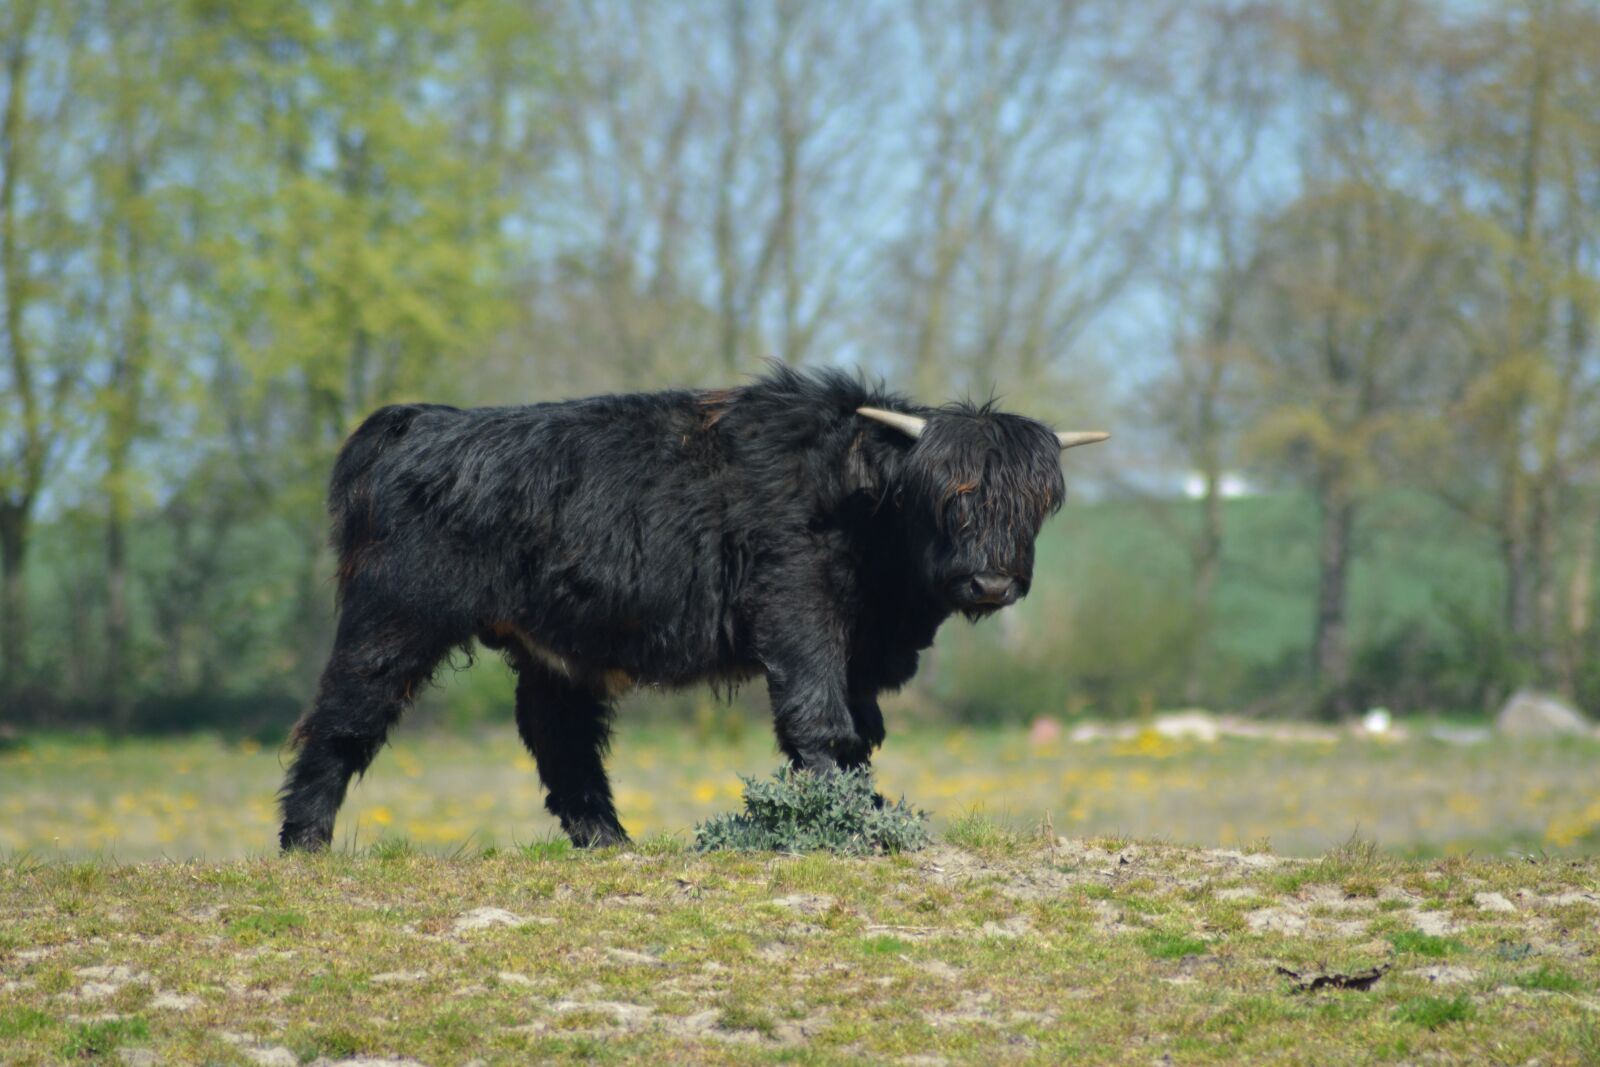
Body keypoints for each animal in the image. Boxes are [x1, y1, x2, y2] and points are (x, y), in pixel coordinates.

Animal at [277, 366, 1107, 851]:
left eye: (1033, 503)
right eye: (946, 498)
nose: (990, 583)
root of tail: (424, 421)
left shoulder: (862, 649)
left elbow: (861, 733)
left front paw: (871, 812)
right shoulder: (798, 610)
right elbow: (820, 720)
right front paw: (846, 824)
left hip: (553, 646)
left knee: (562, 740)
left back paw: (612, 842)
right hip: (396, 616)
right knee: (343, 716)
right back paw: (304, 842)